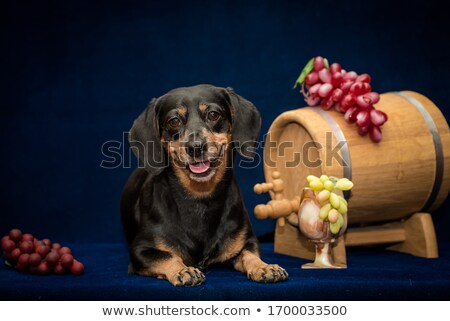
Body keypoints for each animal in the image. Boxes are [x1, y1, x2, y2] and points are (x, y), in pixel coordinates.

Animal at [120, 84, 288, 284]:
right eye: (174, 121)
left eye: (213, 114)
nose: (196, 147)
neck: (200, 198)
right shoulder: (140, 251)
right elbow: (167, 256)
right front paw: (183, 270)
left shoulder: (248, 242)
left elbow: (250, 255)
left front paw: (264, 267)